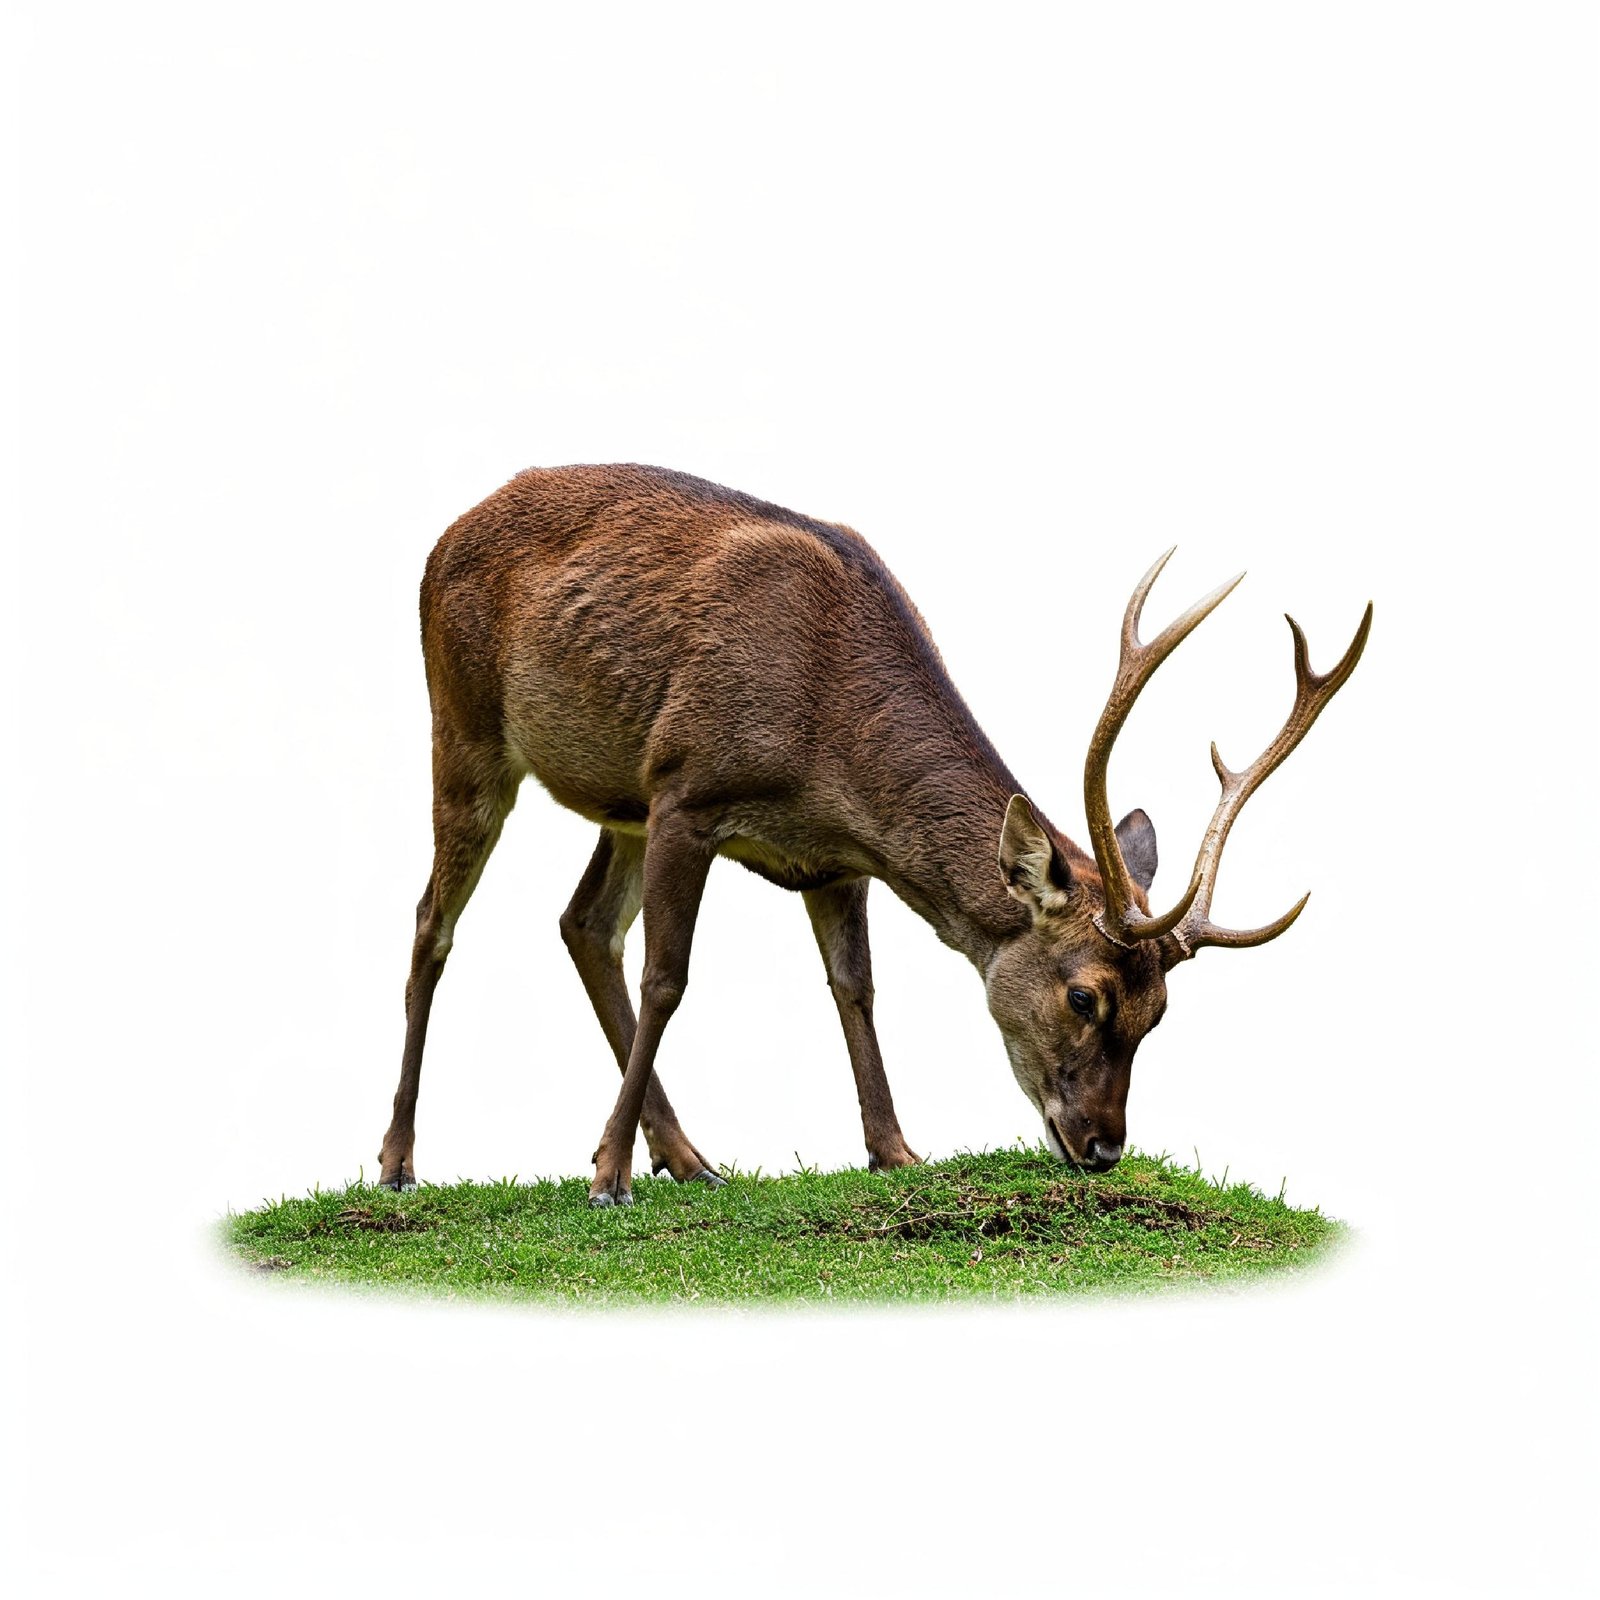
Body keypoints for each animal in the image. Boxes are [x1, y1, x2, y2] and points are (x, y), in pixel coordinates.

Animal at [377, 465, 1371, 1203]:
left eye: (1158, 1013)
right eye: (1085, 996)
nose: (1102, 1148)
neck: (827, 751)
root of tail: (440, 539)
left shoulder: (833, 858)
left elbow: (854, 988)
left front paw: (896, 1150)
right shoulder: (687, 789)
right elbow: (670, 979)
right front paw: (608, 1175)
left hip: (615, 798)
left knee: (582, 924)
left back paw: (689, 1158)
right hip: (465, 724)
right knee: (433, 921)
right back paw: (400, 1161)